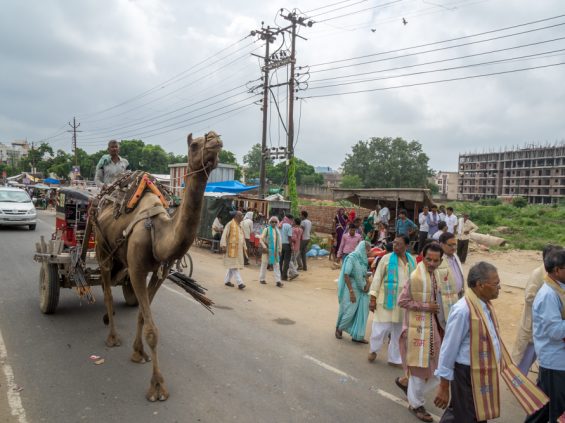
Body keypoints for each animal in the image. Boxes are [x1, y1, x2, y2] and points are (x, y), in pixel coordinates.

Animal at [93, 131, 221, 402]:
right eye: (195, 145)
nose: (214, 138)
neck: (159, 233)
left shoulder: (158, 273)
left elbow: (144, 314)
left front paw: (138, 352)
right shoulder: (138, 270)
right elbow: (153, 330)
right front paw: (157, 387)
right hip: (101, 248)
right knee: (107, 290)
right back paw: (112, 337)